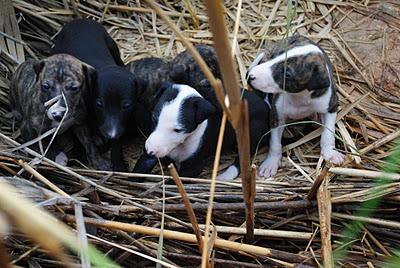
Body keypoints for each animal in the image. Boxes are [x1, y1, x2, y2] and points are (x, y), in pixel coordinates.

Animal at [49, 18, 144, 171]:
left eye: (126, 106)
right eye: (99, 104)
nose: (110, 134)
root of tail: (80, 19)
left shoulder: (118, 122)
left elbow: (116, 142)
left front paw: (118, 164)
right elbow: (80, 136)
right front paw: (79, 155)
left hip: (112, 45)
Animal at [134, 82, 268, 180]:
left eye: (178, 130)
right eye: (154, 118)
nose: (150, 151)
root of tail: (265, 105)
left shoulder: (194, 168)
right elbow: (140, 167)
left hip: (250, 133)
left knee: (241, 160)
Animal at [247, 35, 344, 178]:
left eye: (287, 74)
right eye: (275, 56)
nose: (250, 76)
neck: (299, 97)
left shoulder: (330, 107)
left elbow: (328, 132)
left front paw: (330, 153)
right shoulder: (277, 116)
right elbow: (275, 142)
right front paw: (271, 163)